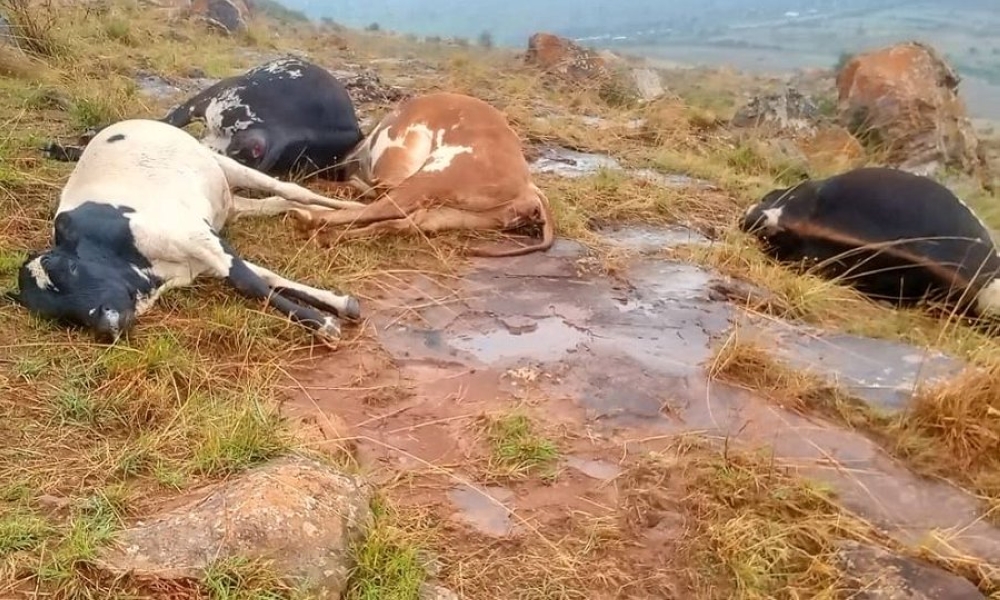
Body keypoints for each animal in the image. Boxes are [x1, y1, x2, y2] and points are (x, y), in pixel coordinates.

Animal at [5, 118, 366, 342]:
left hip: (223, 162)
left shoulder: (193, 233)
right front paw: (339, 304)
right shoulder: (200, 254)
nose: (106, 324)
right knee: (277, 201)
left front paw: (324, 324)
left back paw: (353, 208)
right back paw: (318, 215)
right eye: (59, 315)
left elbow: (248, 282)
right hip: (230, 204)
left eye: (71, 268)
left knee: (290, 188)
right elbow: (265, 276)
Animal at [288, 92, 556, 258]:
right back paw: (327, 236)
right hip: (452, 214)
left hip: (433, 178)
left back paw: (310, 217)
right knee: (400, 223)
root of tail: (529, 188)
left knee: (384, 208)